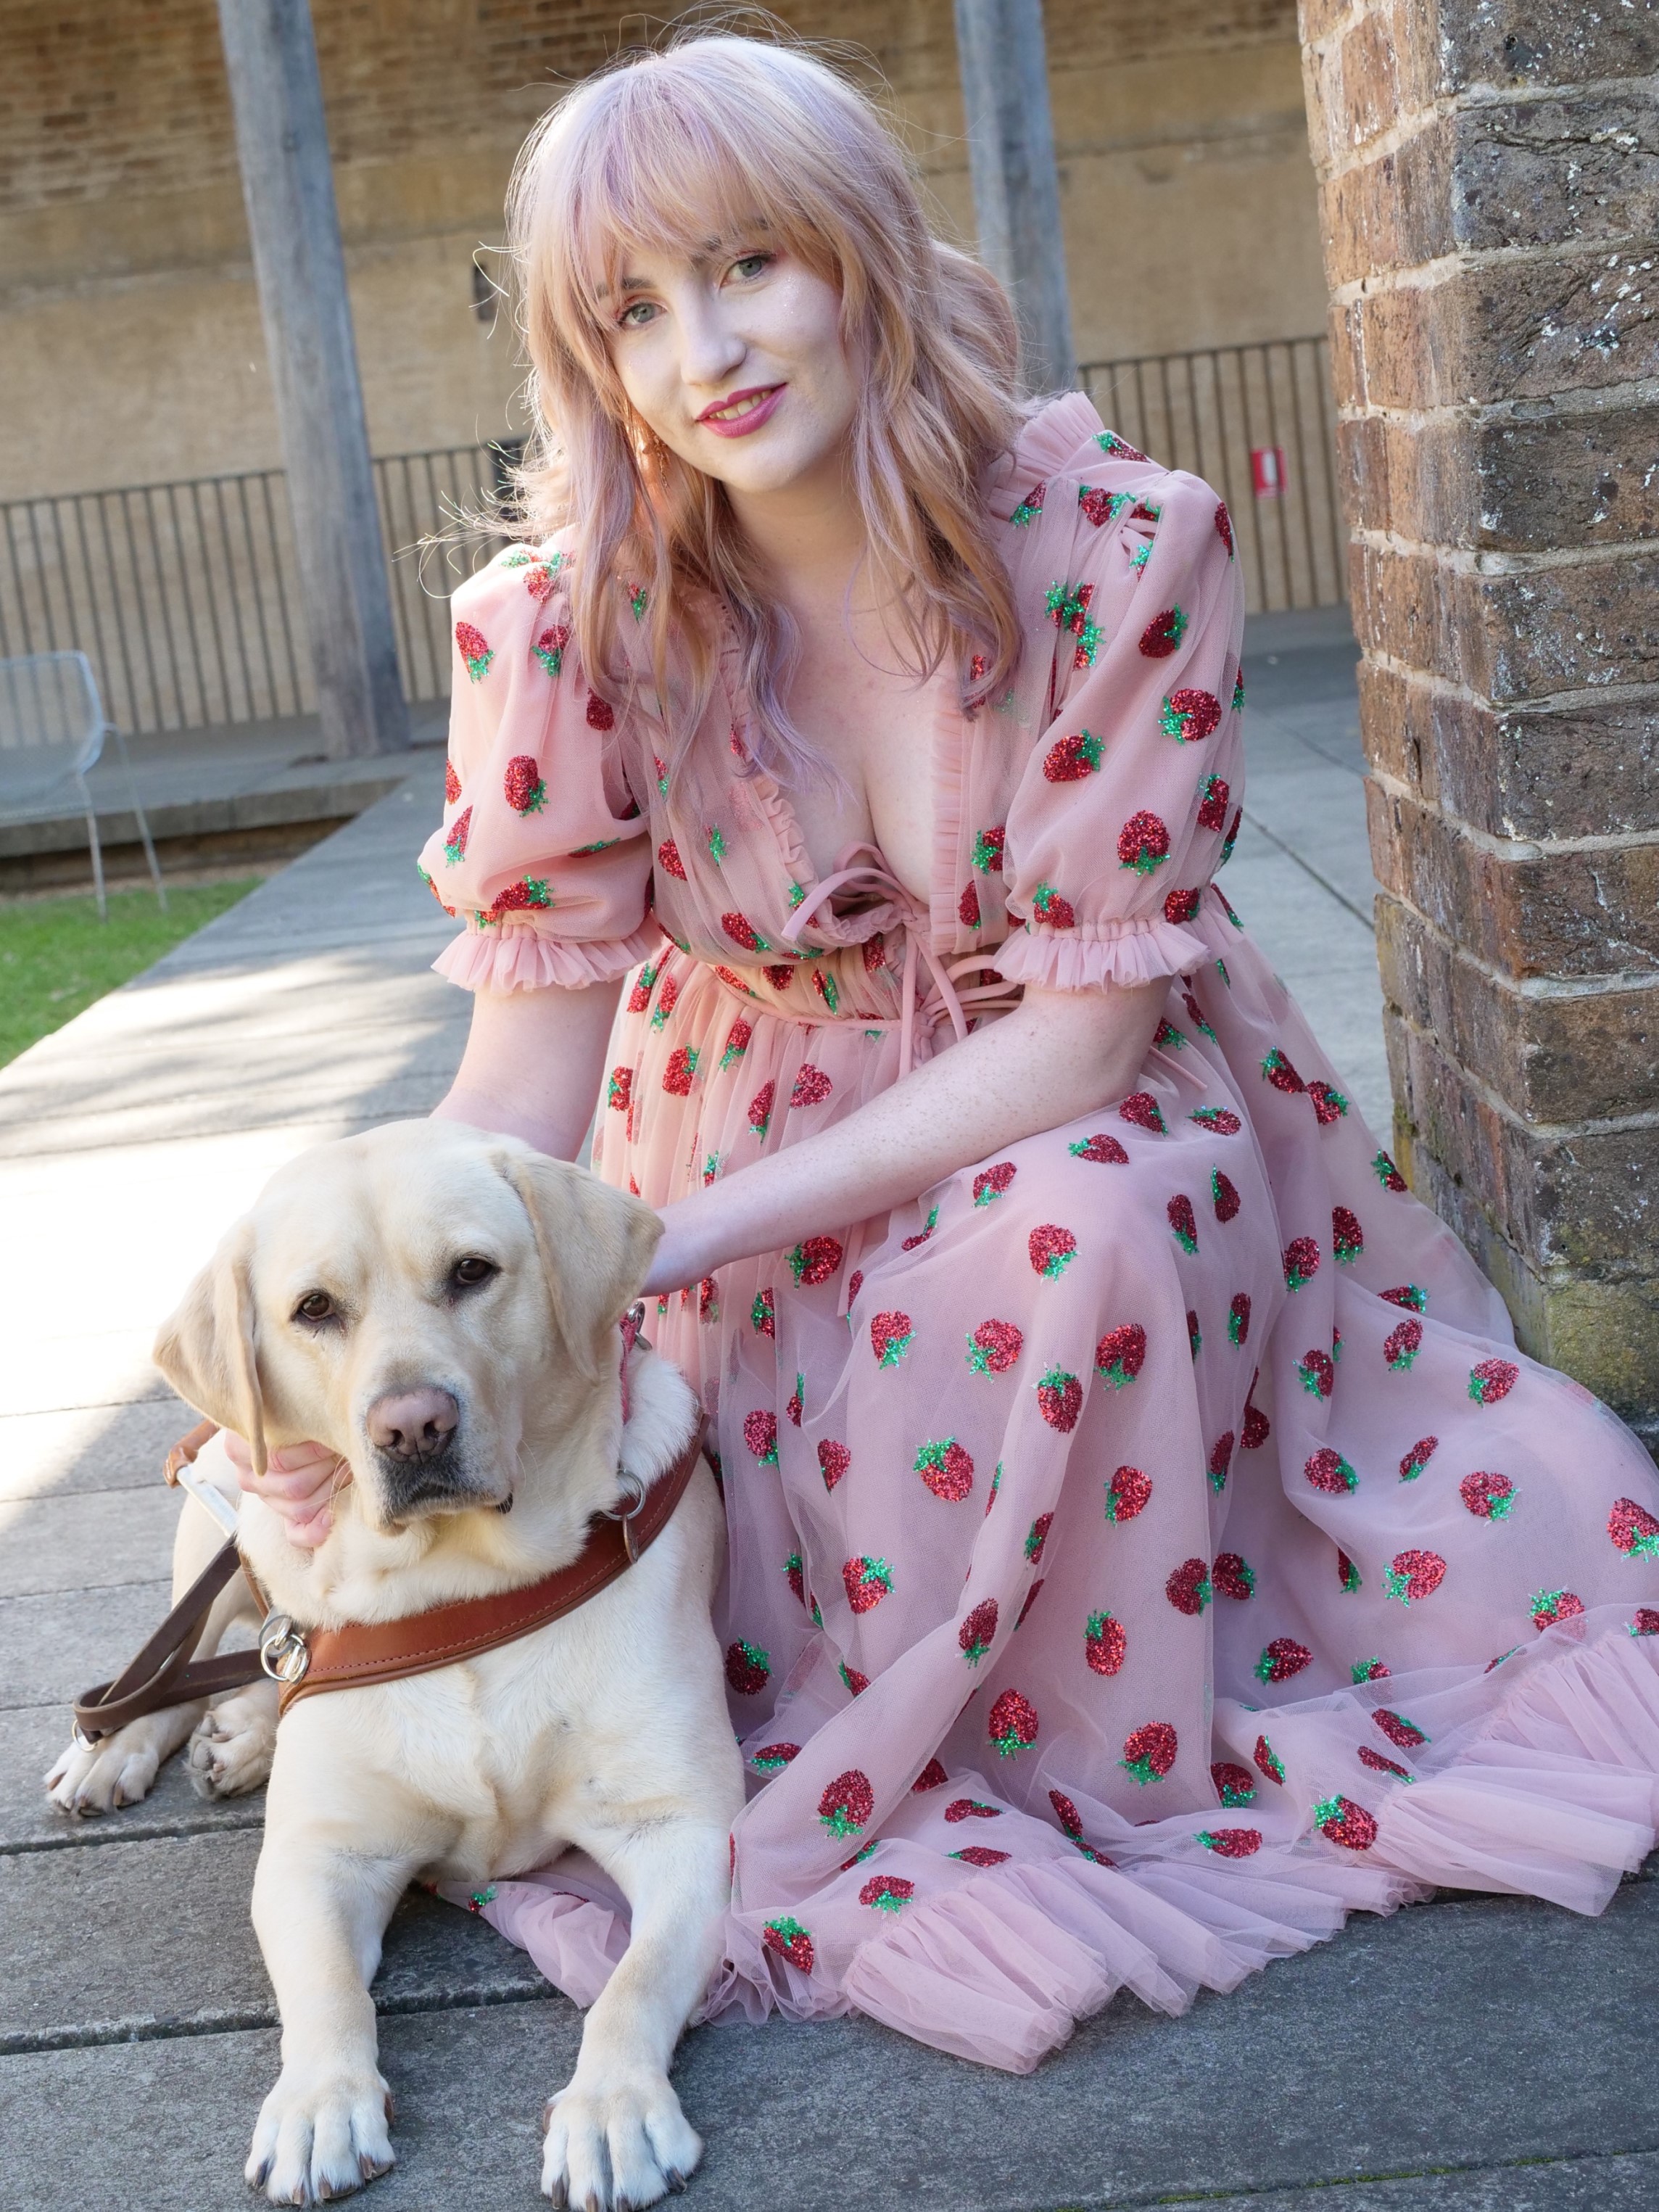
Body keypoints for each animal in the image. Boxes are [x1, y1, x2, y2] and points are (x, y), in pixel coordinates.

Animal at [46, 1123, 748, 2212]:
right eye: (313, 1309)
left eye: (472, 1273)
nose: (412, 1425)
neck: (460, 1590)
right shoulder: (318, 1857)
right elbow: (328, 1992)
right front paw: (318, 2103)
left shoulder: (682, 1830)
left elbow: (630, 1987)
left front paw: (612, 2110)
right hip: (225, 1510)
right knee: (202, 1643)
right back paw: (118, 1746)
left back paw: (242, 1734)